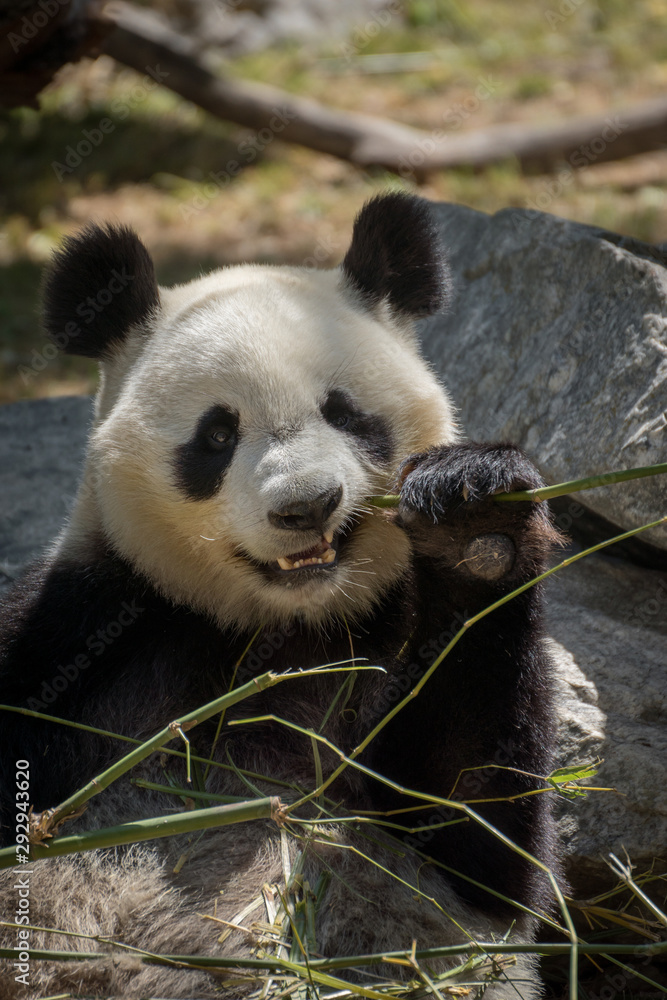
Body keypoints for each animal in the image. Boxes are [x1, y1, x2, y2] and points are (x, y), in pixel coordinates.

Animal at [0, 193, 562, 999]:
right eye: (216, 434)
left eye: (345, 413)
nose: (306, 506)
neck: (287, 628)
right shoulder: (76, 630)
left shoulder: (383, 641)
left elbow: (474, 827)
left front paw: (474, 517)